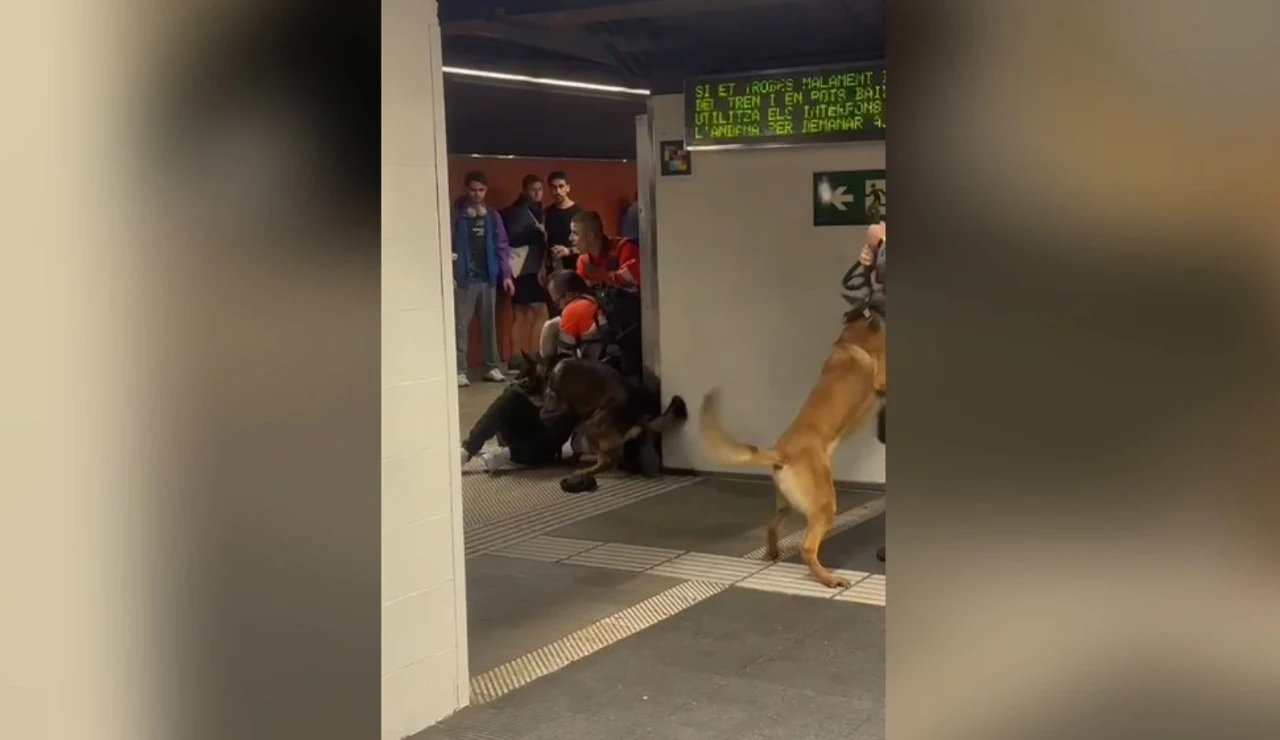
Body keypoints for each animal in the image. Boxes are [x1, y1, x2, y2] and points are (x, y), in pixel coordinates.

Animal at [696, 302, 885, 583]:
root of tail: (781, 452)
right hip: (824, 506)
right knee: (807, 548)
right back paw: (828, 578)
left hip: (786, 504)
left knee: (771, 527)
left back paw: (772, 553)